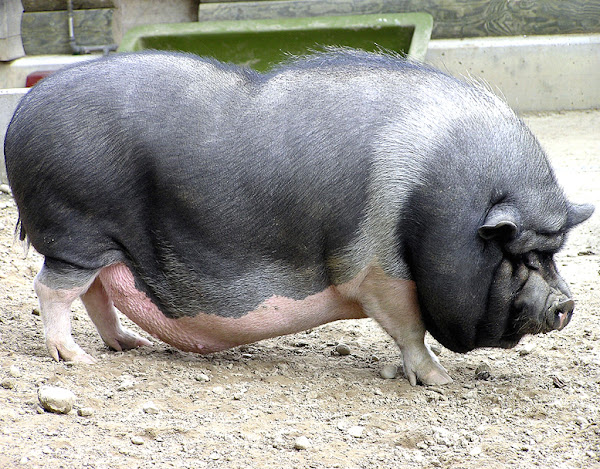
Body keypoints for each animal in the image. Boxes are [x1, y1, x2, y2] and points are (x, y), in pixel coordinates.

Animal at [5, 48, 596, 384]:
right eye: (521, 254)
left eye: (554, 252)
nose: (566, 304)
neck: (432, 202)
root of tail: (22, 113)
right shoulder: (377, 272)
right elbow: (409, 330)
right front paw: (441, 380)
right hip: (75, 228)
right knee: (53, 289)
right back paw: (76, 360)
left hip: (105, 243)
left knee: (97, 293)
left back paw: (128, 346)